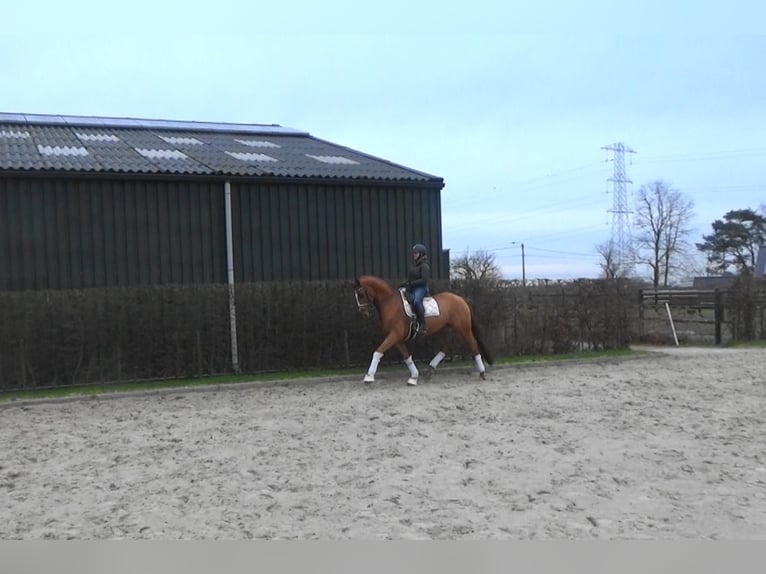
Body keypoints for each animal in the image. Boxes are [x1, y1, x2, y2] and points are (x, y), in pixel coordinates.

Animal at [352, 274, 496, 388]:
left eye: (361, 294)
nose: (363, 312)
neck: (390, 303)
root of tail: (460, 298)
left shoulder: (394, 335)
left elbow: (378, 351)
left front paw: (369, 377)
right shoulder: (397, 338)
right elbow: (407, 357)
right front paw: (414, 377)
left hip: (463, 328)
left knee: (473, 345)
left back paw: (482, 372)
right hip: (441, 329)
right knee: (445, 347)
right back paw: (430, 369)